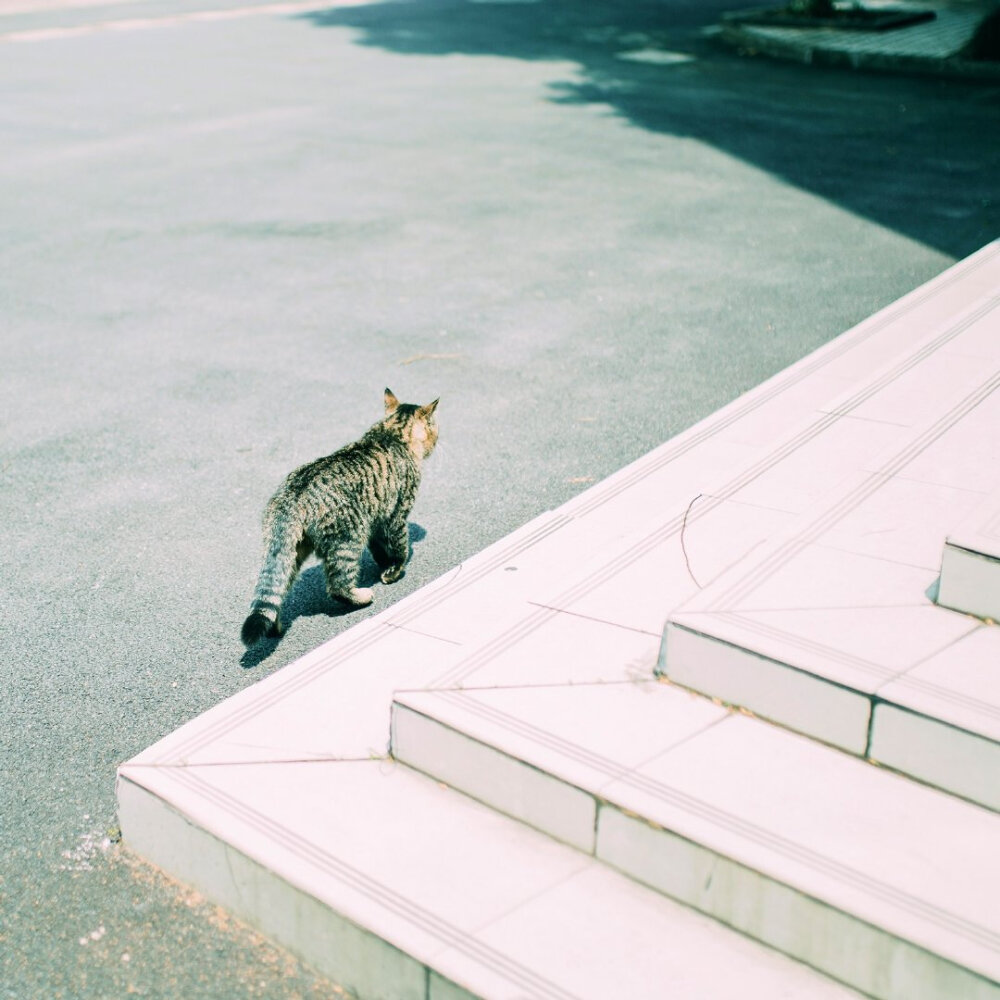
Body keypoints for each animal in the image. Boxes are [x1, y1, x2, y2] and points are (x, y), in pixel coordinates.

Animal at [240, 386, 440, 644]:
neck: (392, 432)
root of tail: (292, 497)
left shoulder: (375, 520)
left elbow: (379, 548)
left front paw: (384, 565)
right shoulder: (395, 515)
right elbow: (399, 547)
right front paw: (394, 570)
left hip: (291, 553)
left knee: (277, 590)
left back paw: (276, 627)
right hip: (347, 540)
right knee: (337, 586)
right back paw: (361, 596)